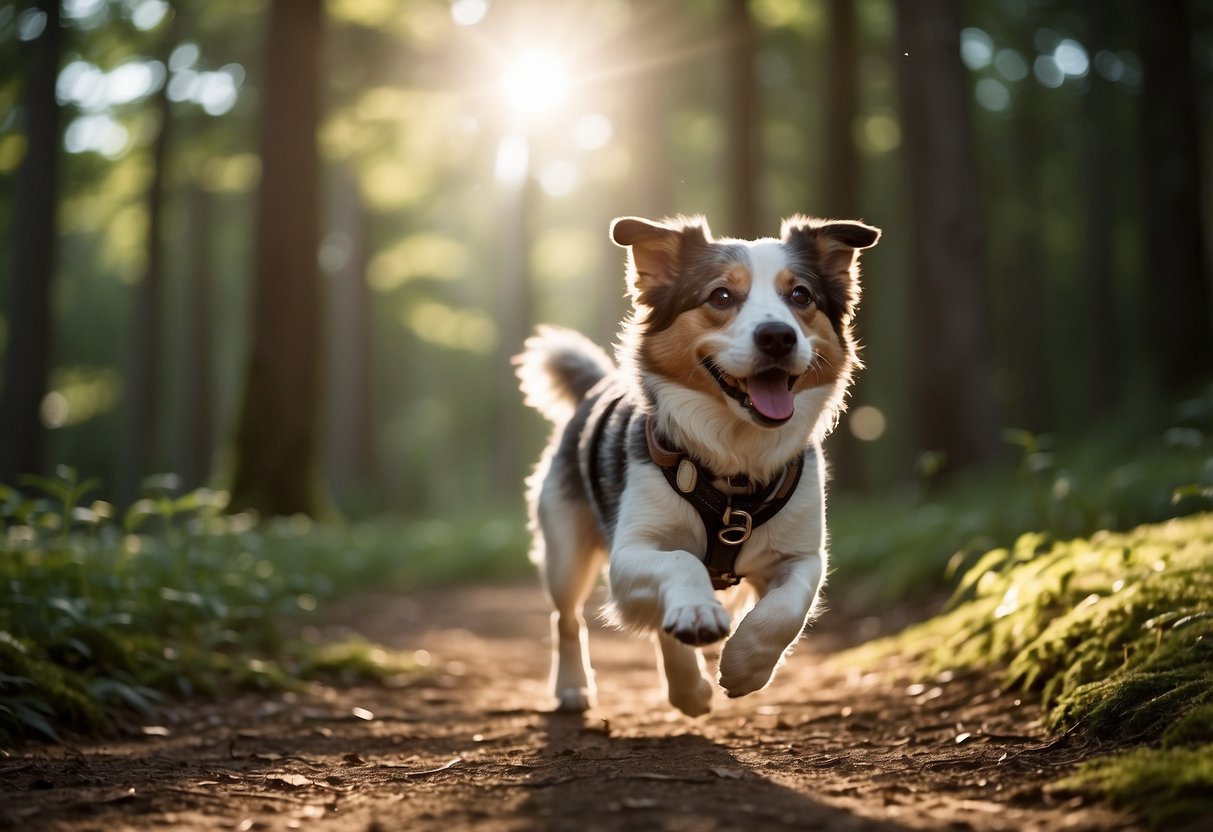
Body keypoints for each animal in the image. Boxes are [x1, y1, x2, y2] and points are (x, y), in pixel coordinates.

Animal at [514, 214, 883, 717]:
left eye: (801, 296)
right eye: (721, 296)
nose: (778, 336)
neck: (735, 461)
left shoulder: (803, 556)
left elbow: (788, 607)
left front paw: (746, 665)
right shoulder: (629, 554)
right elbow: (681, 563)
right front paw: (696, 615)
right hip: (564, 548)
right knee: (566, 618)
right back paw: (577, 686)